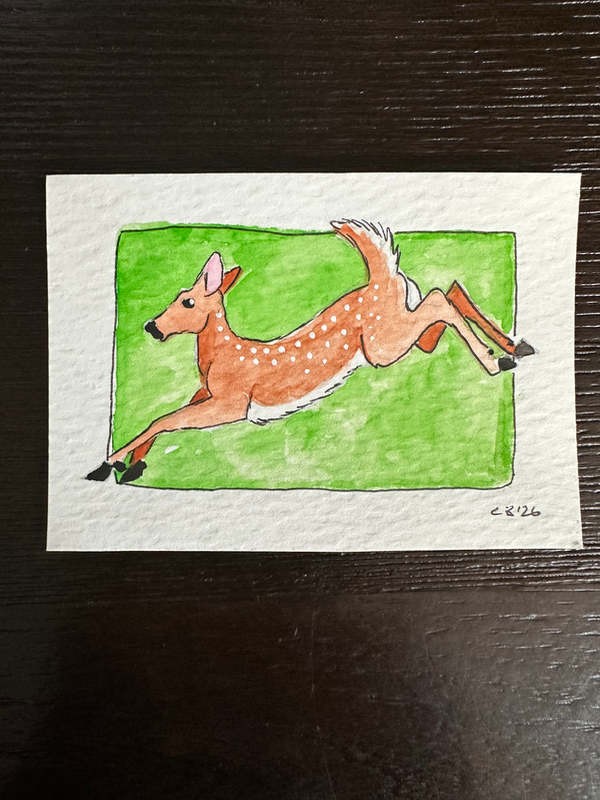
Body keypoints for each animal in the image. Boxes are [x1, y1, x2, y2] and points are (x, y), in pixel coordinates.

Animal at [86, 219, 534, 484]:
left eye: (187, 301)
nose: (151, 326)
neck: (221, 358)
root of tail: (379, 277)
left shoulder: (233, 403)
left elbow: (164, 420)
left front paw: (108, 464)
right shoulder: (207, 393)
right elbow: (162, 420)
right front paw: (128, 464)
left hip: (382, 345)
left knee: (441, 298)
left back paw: (498, 359)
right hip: (394, 335)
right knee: (446, 296)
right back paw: (514, 346)